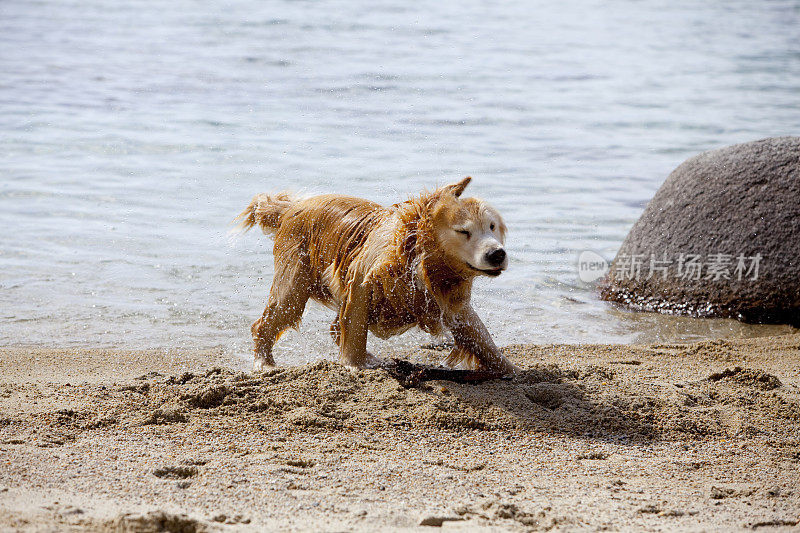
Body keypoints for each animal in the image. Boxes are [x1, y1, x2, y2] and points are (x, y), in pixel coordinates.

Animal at [234, 178, 516, 374]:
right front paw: (355, 364)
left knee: (334, 328)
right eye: (463, 231)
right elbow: (355, 329)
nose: (497, 254)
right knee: (266, 322)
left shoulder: (448, 299)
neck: (418, 258)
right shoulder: (362, 280)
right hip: (294, 285)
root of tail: (292, 207)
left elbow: (480, 335)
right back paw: (264, 363)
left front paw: (512, 369)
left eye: (492, 226)